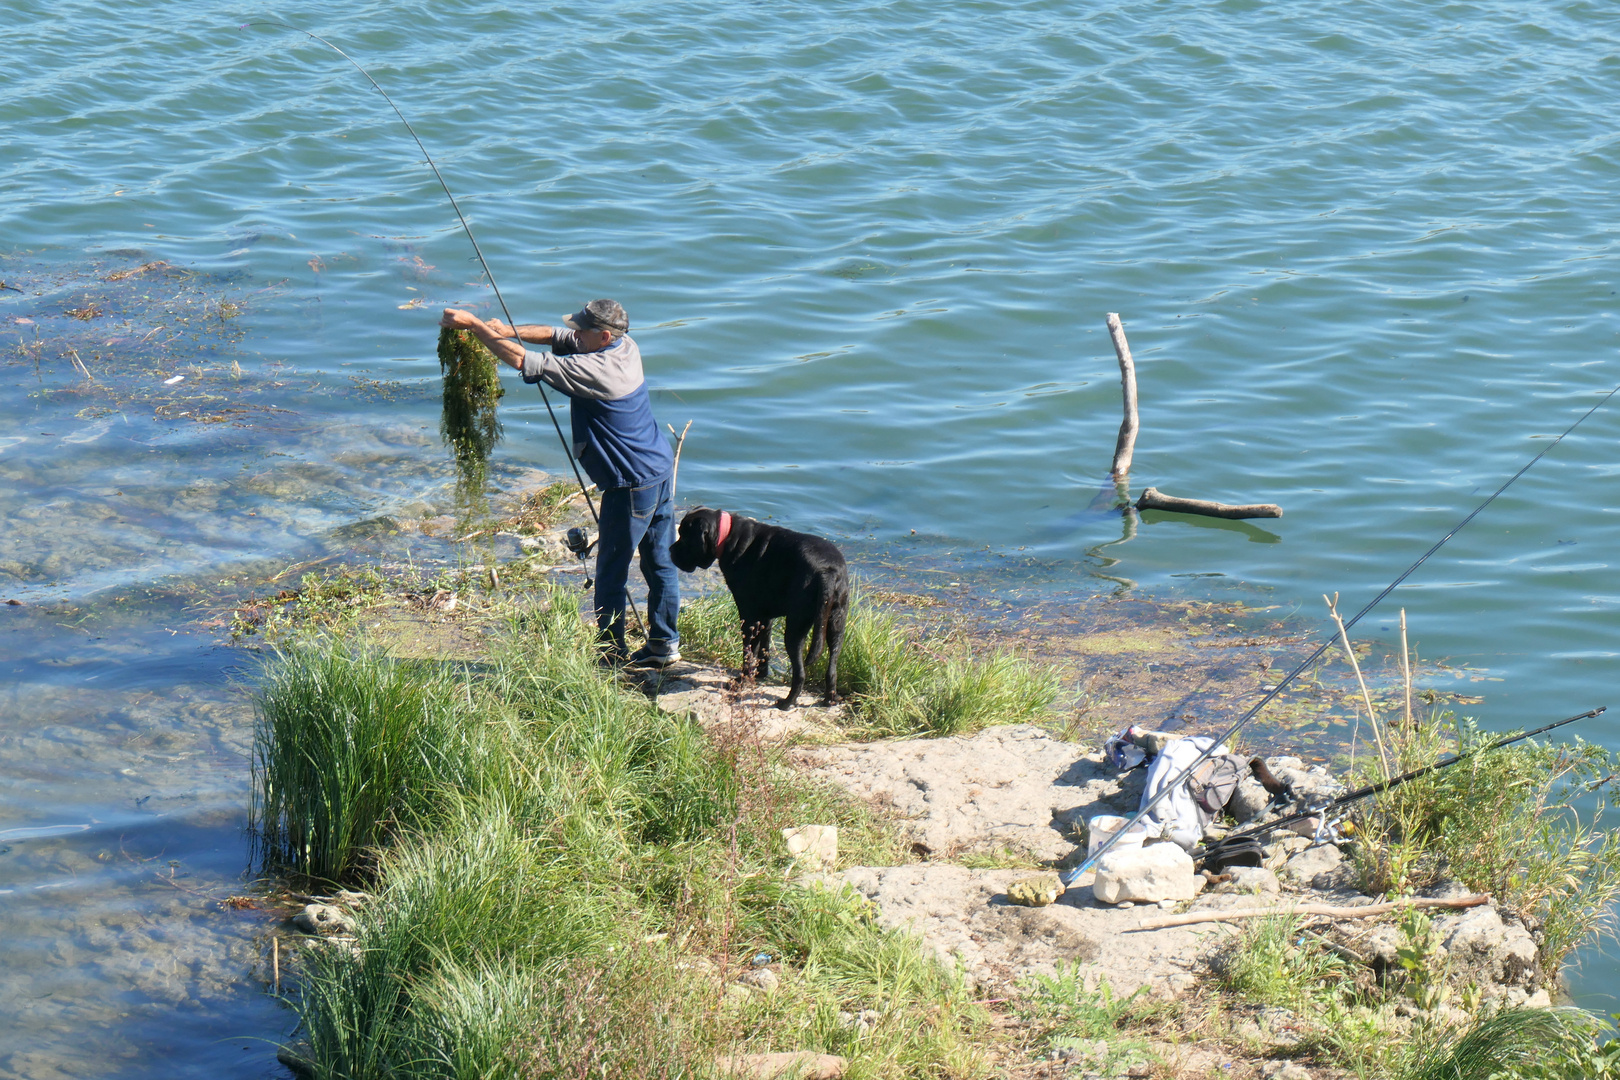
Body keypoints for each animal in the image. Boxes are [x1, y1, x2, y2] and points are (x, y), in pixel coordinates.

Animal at [667, 508, 848, 709]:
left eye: (684, 537)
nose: (670, 550)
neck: (727, 536)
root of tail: (827, 571)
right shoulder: (765, 617)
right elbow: (764, 649)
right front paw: (760, 675)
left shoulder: (749, 616)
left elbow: (749, 653)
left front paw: (742, 681)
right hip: (836, 623)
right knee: (832, 665)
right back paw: (829, 699)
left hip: (796, 626)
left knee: (800, 672)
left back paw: (787, 703)